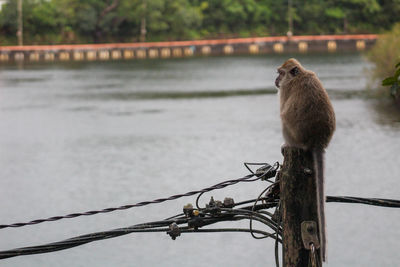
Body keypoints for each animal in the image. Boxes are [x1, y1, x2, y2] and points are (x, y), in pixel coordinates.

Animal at [276, 58, 334, 262]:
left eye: (281, 73)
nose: (276, 80)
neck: (298, 75)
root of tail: (318, 141)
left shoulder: (285, 90)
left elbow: (284, 109)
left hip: (294, 134)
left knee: (284, 117)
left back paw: (287, 145)